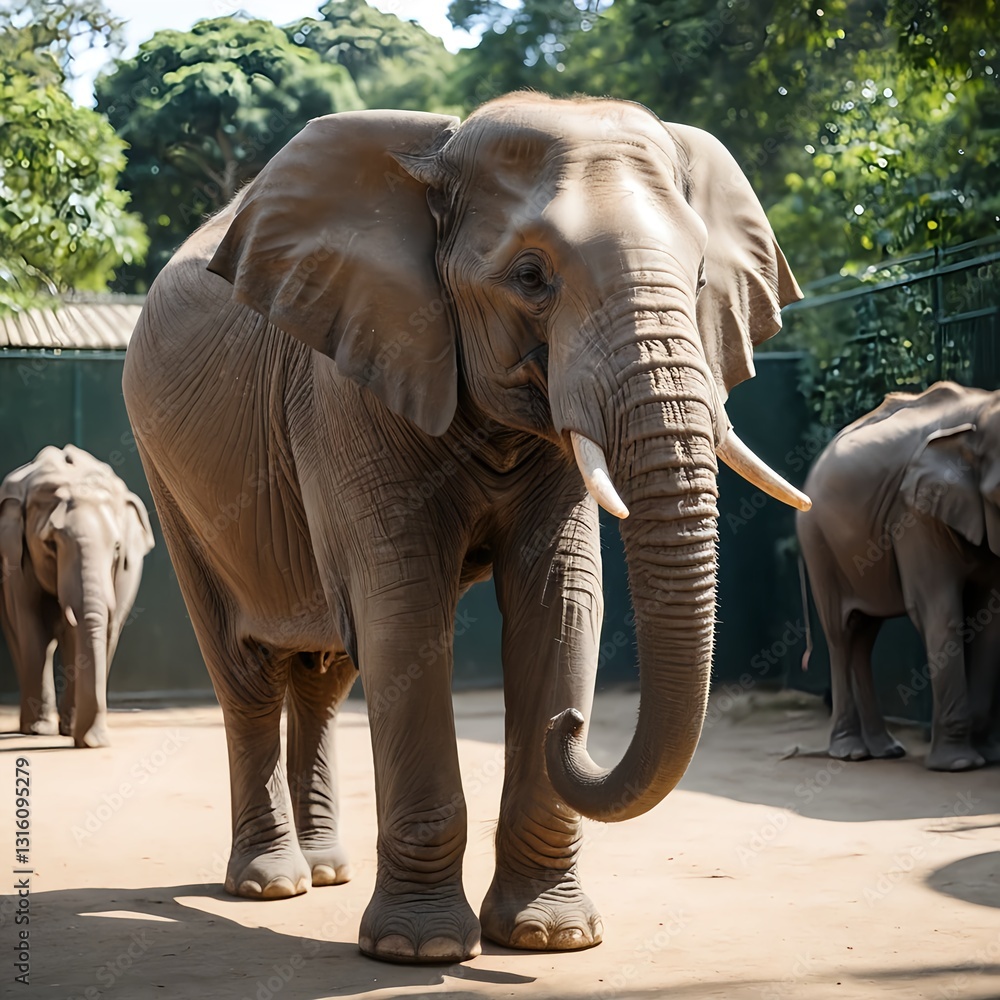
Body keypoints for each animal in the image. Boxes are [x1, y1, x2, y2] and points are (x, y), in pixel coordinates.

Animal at [0, 445, 154, 747]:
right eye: (50, 544)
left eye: (117, 548)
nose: (95, 742)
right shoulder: (15, 557)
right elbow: (32, 626)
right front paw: (40, 731)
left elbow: (99, 629)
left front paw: (81, 736)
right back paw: (36, 728)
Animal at [122, 93, 808, 963]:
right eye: (530, 277)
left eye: (695, 278)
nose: (573, 725)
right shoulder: (349, 380)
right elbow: (404, 609)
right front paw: (419, 950)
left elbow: (561, 602)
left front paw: (550, 937)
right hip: (169, 476)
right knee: (245, 673)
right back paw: (272, 884)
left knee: (323, 674)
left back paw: (327, 871)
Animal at [798, 381, 1000, 772]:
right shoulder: (914, 513)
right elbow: (939, 610)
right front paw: (959, 765)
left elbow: (989, 618)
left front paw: (990, 757)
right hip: (817, 540)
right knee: (840, 635)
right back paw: (851, 752)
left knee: (863, 636)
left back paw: (885, 750)